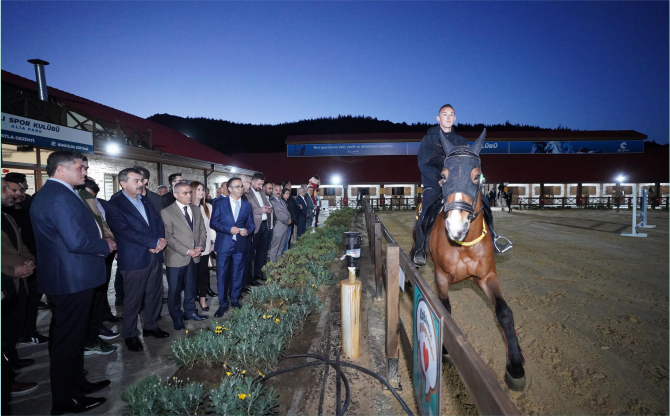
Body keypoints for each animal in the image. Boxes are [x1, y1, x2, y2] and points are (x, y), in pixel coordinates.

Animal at [418, 129, 528, 390]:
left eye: (477, 176)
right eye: (443, 176)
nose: (456, 227)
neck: (463, 245)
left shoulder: (487, 277)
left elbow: (504, 313)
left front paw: (515, 364)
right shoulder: (441, 277)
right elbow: (445, 310)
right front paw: (445, 349)